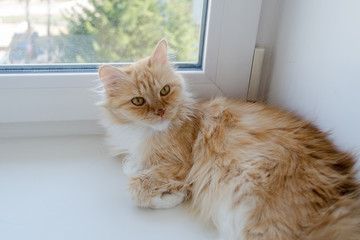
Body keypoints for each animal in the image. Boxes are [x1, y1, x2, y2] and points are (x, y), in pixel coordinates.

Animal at [97, 39, 360, 240]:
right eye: (138, 101)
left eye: (164, 91)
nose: (161, 112)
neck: (144, 132)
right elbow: (133, 169)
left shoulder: (180, 165)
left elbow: (136, 187)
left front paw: (173, 196)